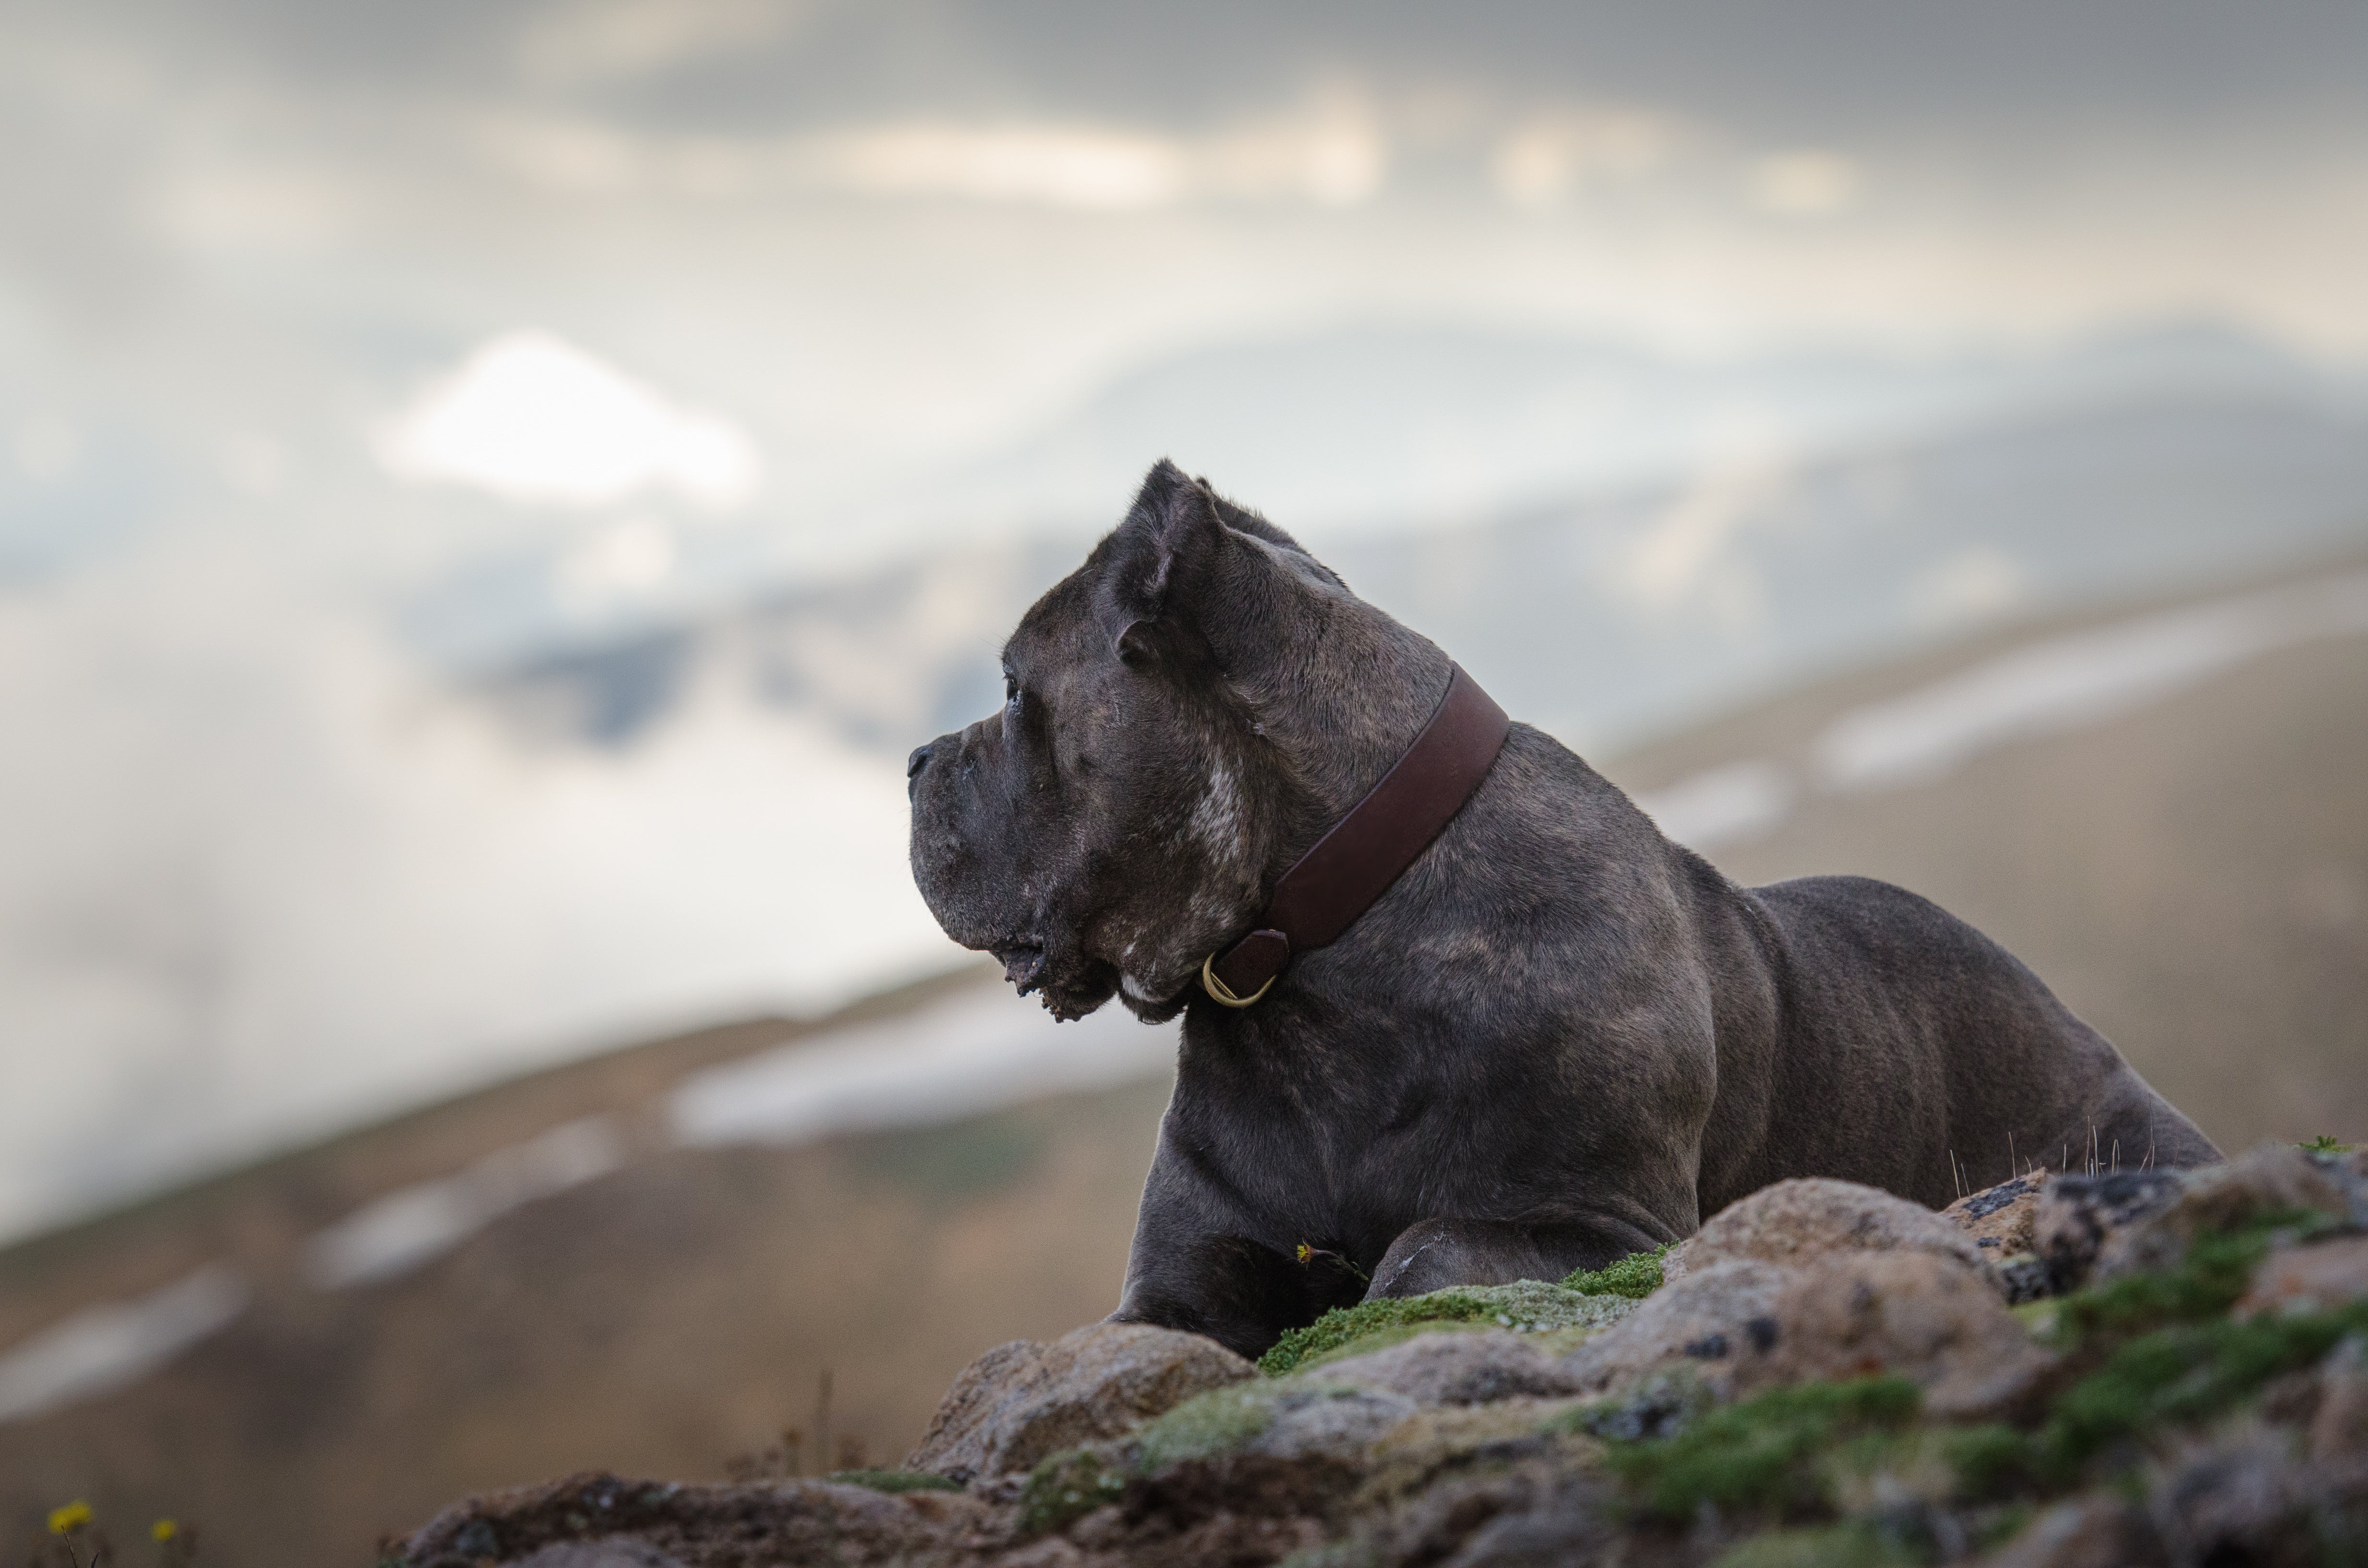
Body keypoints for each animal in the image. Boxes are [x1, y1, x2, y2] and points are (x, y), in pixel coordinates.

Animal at [904, 457, 2216, 1364]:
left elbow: (1421, 1249)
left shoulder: (1600, 1224)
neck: (1320, 965)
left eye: (1016, 691)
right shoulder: (1180, 1277)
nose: (916, 762)